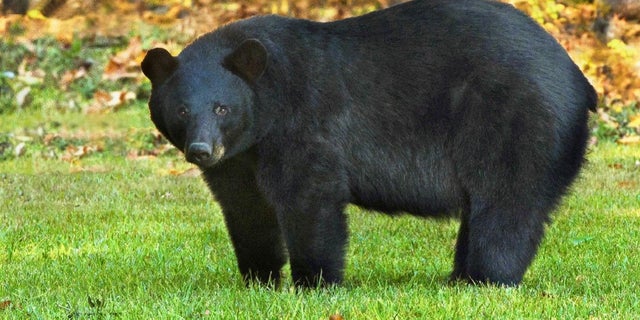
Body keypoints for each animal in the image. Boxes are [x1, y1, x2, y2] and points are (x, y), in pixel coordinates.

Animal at [140, 0, 596, 288]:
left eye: (222, 108)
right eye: (181, 110)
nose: (202, 150)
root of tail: (579, 78)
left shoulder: (302, 124)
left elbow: (310, 198)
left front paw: (314, 283)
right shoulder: (240, 159)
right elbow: (247, 209)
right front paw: (259, 280)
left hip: (518, 122)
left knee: (506, 207)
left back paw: (484, 280)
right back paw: (458, 278)